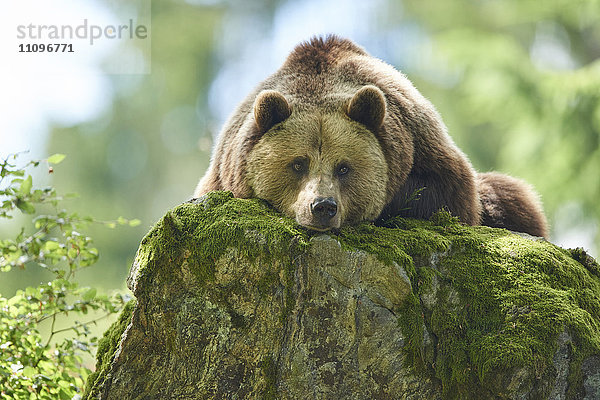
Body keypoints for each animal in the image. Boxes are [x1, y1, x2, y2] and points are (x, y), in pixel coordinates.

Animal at [196, 35, 548, 238]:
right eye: (298, 164)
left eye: (343, 167)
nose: (322, 207)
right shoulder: (223, 174)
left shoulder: (420, 149)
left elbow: (439, 197)